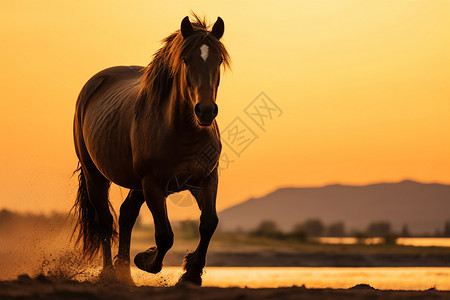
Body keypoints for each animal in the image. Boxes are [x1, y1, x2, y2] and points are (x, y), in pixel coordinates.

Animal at [73, 14, 230, 286]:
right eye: (186, 60)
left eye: (218, 60)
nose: (206, 111)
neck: (182, 131)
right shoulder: (154, 184)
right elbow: (165, 235)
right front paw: (146, 260)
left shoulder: (206, 179)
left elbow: (209, 223)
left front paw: (191, 274)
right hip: (96, 175)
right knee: (104, 220)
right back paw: (109, 273)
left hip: (137, 185)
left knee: (126, 215)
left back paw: (125, 274)